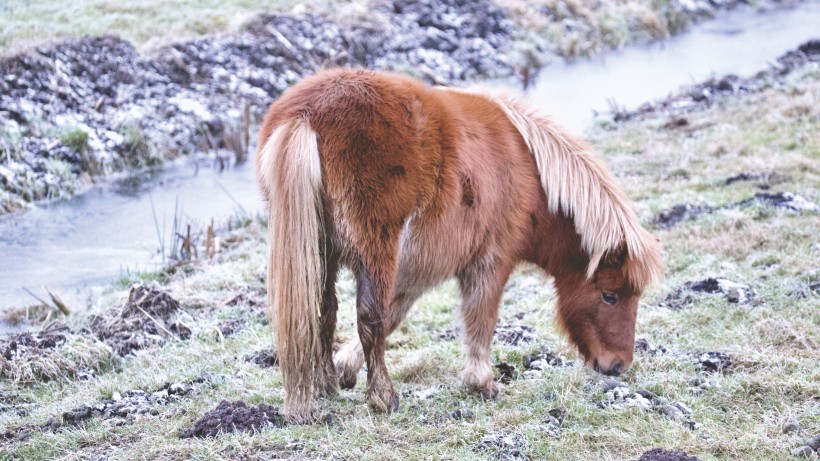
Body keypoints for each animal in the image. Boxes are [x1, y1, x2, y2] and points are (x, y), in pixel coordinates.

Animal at [258, 66, 668, 422]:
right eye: (610, 296)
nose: (617, 365)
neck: (529, 173)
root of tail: (306, 115)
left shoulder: (416, 270)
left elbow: (394, 315)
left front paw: (345, 368)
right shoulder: (490, 262)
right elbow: (478, 317)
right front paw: (481, 382)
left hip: (321, 254)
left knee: (323, 312)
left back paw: (326, 385)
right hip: (376, 251)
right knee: (367, 317)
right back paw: (383, 398)